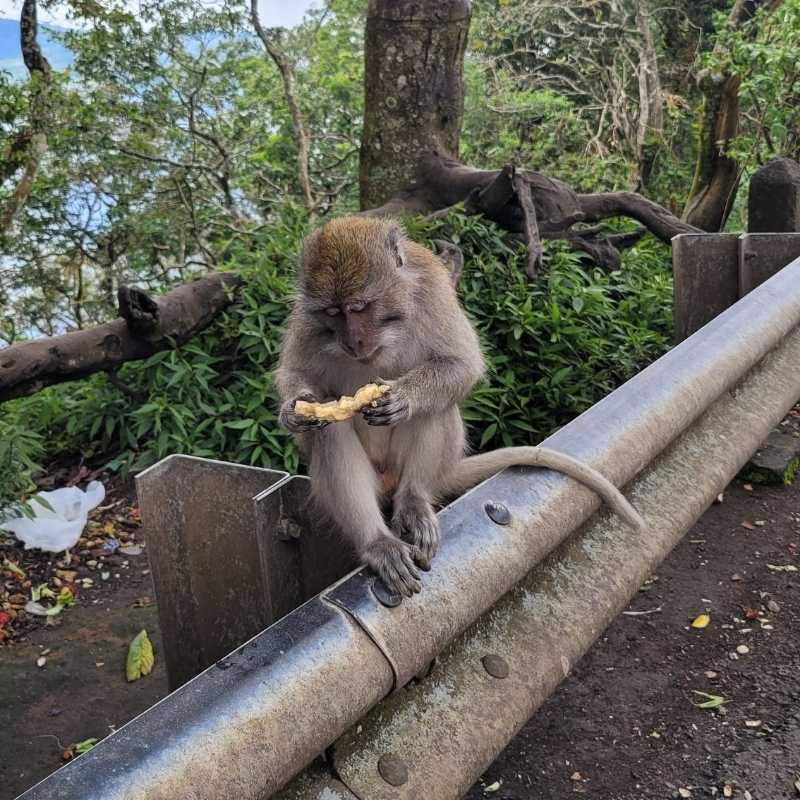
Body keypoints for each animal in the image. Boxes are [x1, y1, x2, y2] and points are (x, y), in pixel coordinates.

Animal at [275, 216, 645, 598]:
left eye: (359, 307)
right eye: (333, 312)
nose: (354, 341)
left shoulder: (433, 291)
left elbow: (461, 364)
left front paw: (405, 396)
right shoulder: (306, 320)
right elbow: (296, 373)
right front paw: (294, 411)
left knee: (438, 407)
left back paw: (414, 500)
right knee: (330, 432)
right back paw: (378, 542)